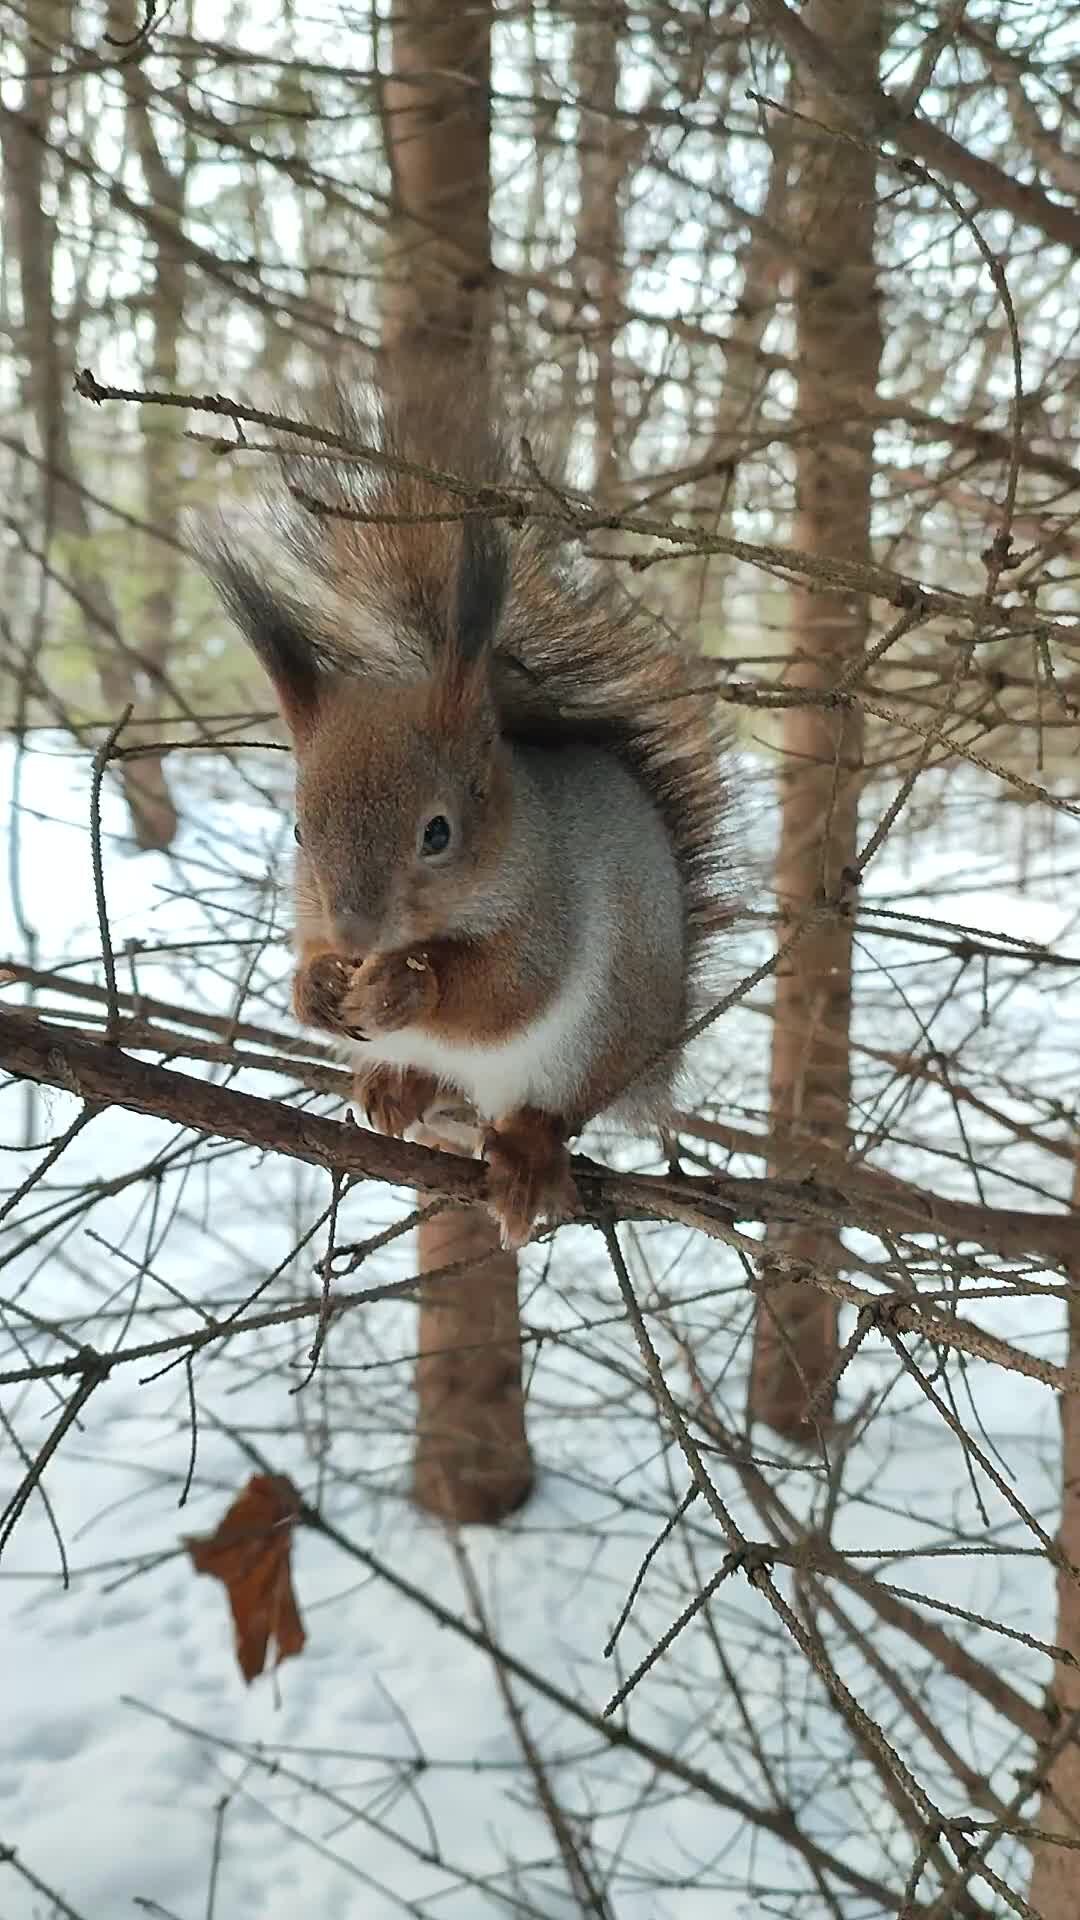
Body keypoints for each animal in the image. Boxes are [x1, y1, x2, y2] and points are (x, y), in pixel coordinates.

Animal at [193, 376, 730, 1251]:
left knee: (543, 1112)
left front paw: (405, 989)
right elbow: (306, 953)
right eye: (300, 829)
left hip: (591, 1045)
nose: (355, 937)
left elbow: (507, 991)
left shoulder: (555, 908)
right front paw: (314, 986)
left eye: (438, 832)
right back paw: (395, 1085)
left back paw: (524, 1161)